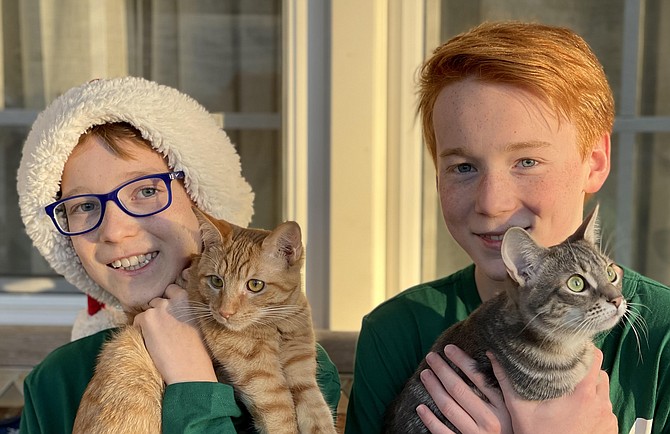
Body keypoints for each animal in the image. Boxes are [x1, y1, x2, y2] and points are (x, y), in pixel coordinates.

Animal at [73, 209, 336, 432]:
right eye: (216, 281)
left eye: (255, 285)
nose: (225, 312)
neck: (276, 324)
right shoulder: (263, 379)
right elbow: (282, 418)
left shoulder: (302, 373)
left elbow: (319, 415)